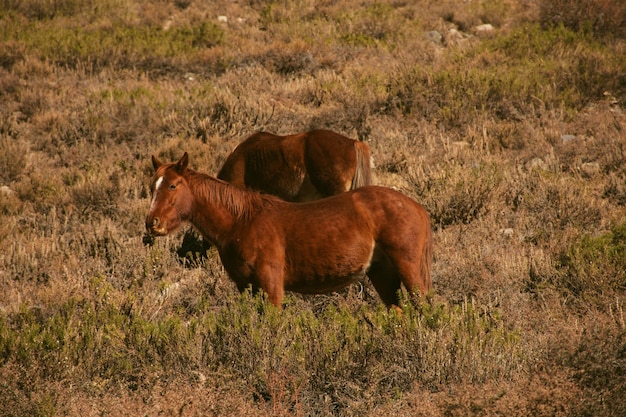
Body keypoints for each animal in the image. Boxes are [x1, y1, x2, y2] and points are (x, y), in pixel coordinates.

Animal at [146, 154, 432, 308]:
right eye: (152, 186)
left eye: (173, 186)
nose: (152, 223)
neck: (242, 222)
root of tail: (417, 207)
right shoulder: (246, 287)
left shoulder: (271, 287)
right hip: (382, 274)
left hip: (408, 270)